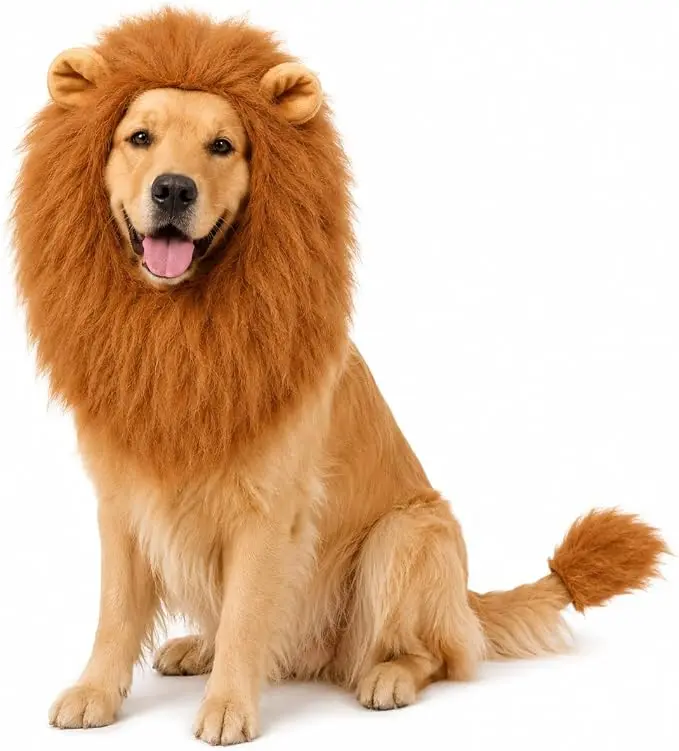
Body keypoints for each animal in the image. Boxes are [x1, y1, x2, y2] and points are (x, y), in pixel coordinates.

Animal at [12, 9, 666, 746]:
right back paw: (196, 647)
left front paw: (229, 705)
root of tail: (466, 602)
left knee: (435, 655)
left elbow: (246, 617)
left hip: (406, 535)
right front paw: (96, 690)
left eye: (222, 145)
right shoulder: (121, 503)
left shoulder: (269, 511)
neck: (182, 327)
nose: (173, 188)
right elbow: (116, 613)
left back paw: (387, 676)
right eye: (139, 138)